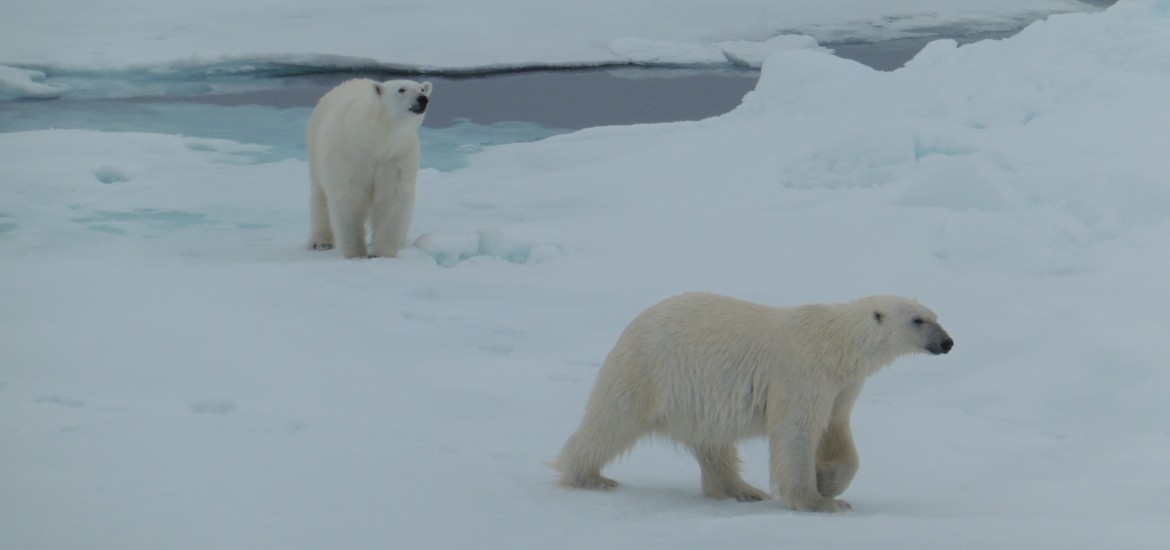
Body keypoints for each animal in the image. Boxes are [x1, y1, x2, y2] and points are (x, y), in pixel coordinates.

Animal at [308, 77, 432, 259]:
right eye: (401, 89)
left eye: (422, 89)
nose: (422, 99)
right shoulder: (349, 155)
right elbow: (348, 197)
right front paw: (355, 253)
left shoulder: (397, 157)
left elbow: (392, 197)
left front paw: (381, 253)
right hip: (315, 146)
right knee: (320, 197)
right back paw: (320, 242)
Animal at [554, 294, 950, 512]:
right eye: (918, 320)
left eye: (936, 316)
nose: (948, 343)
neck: (834, 343)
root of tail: (633, 324)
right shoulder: (801, 372)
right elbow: (796, 431)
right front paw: (818, 501)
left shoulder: (841, 386)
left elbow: (836, 432)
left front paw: (828, 483)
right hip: (648, 370)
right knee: (612, 421)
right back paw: (588, 477)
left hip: (695, 397)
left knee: (713, 444)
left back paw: (742, 490)